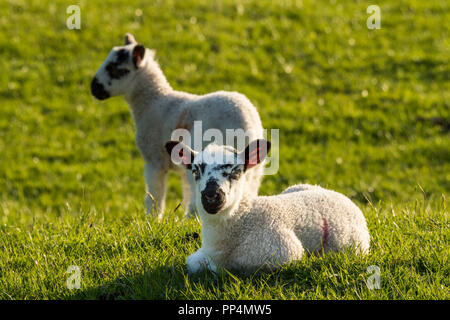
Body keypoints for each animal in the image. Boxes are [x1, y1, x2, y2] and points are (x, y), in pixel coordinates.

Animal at [164, 138, 370, 272]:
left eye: (236, 171)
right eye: (195, 171)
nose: (211, 196)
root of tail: (343, 197)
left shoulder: (281, 252)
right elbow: (192, 263)